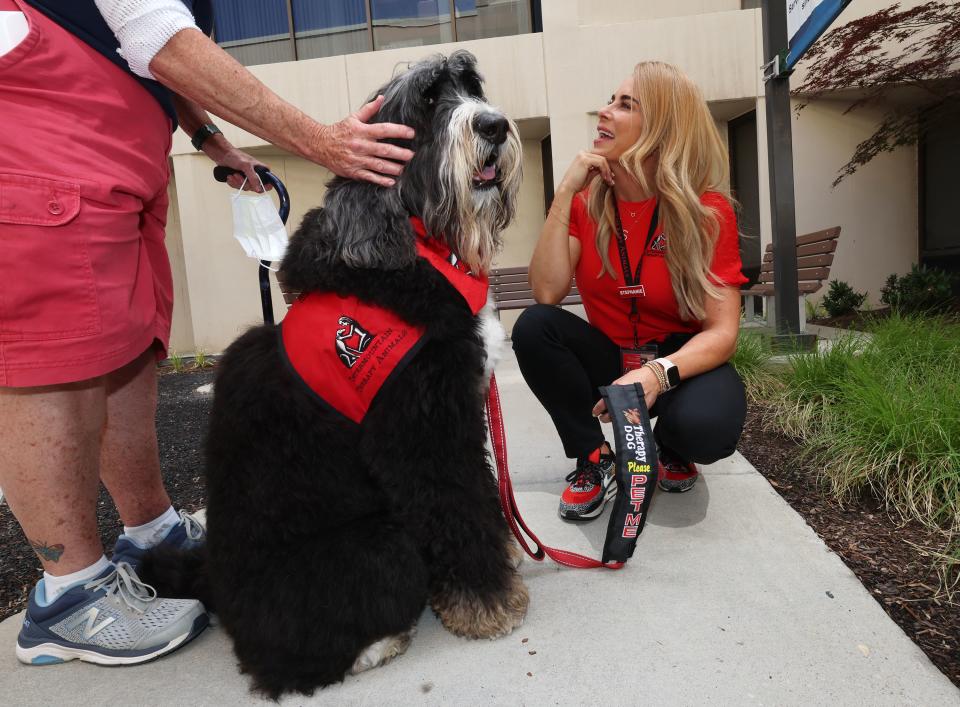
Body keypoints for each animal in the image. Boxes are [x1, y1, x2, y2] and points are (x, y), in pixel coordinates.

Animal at [146, 51, 528, 704]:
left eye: (470, 85)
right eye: (429, 101)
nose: (495, 125)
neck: (411, 243)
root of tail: (214, 583)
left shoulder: (457, 417)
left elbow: (479, 492)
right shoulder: (421, 438)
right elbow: (458, 509)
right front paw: (488, 603)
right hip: (380, 542)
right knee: (279, 667)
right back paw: (377, 644)